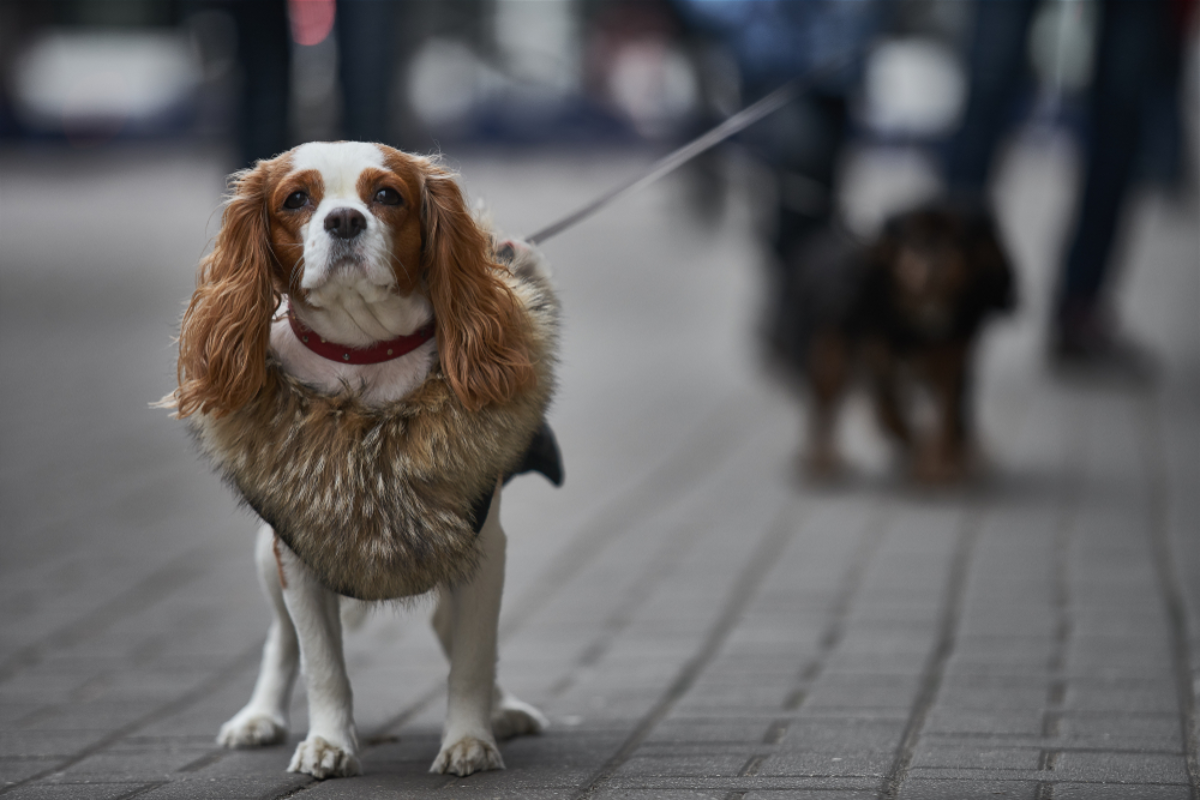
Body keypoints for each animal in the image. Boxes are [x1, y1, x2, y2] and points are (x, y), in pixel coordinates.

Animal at [165, 143, 556, 782]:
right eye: (296, 199)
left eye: (388, 195)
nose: (345, 220)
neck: (366, 355)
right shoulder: (297, 554)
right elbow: (322, 663)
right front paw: (327, 744)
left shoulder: (482, 545)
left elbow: (474, 657)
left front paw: (469, 741)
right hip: (266, 559)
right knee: (281, 641)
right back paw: (258, 717)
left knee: (453, 631)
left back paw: (505, 710)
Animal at [772, 201, 1017, 482]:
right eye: (913, 238)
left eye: (957, 239)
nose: (937, 259)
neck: (920, 322)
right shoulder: (880, 363)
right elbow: (890, 414)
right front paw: (920, 454)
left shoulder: (951, 364)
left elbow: (948, 416)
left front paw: (943, 462)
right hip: (829, 362)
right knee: (823, 411)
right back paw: (822, 461)